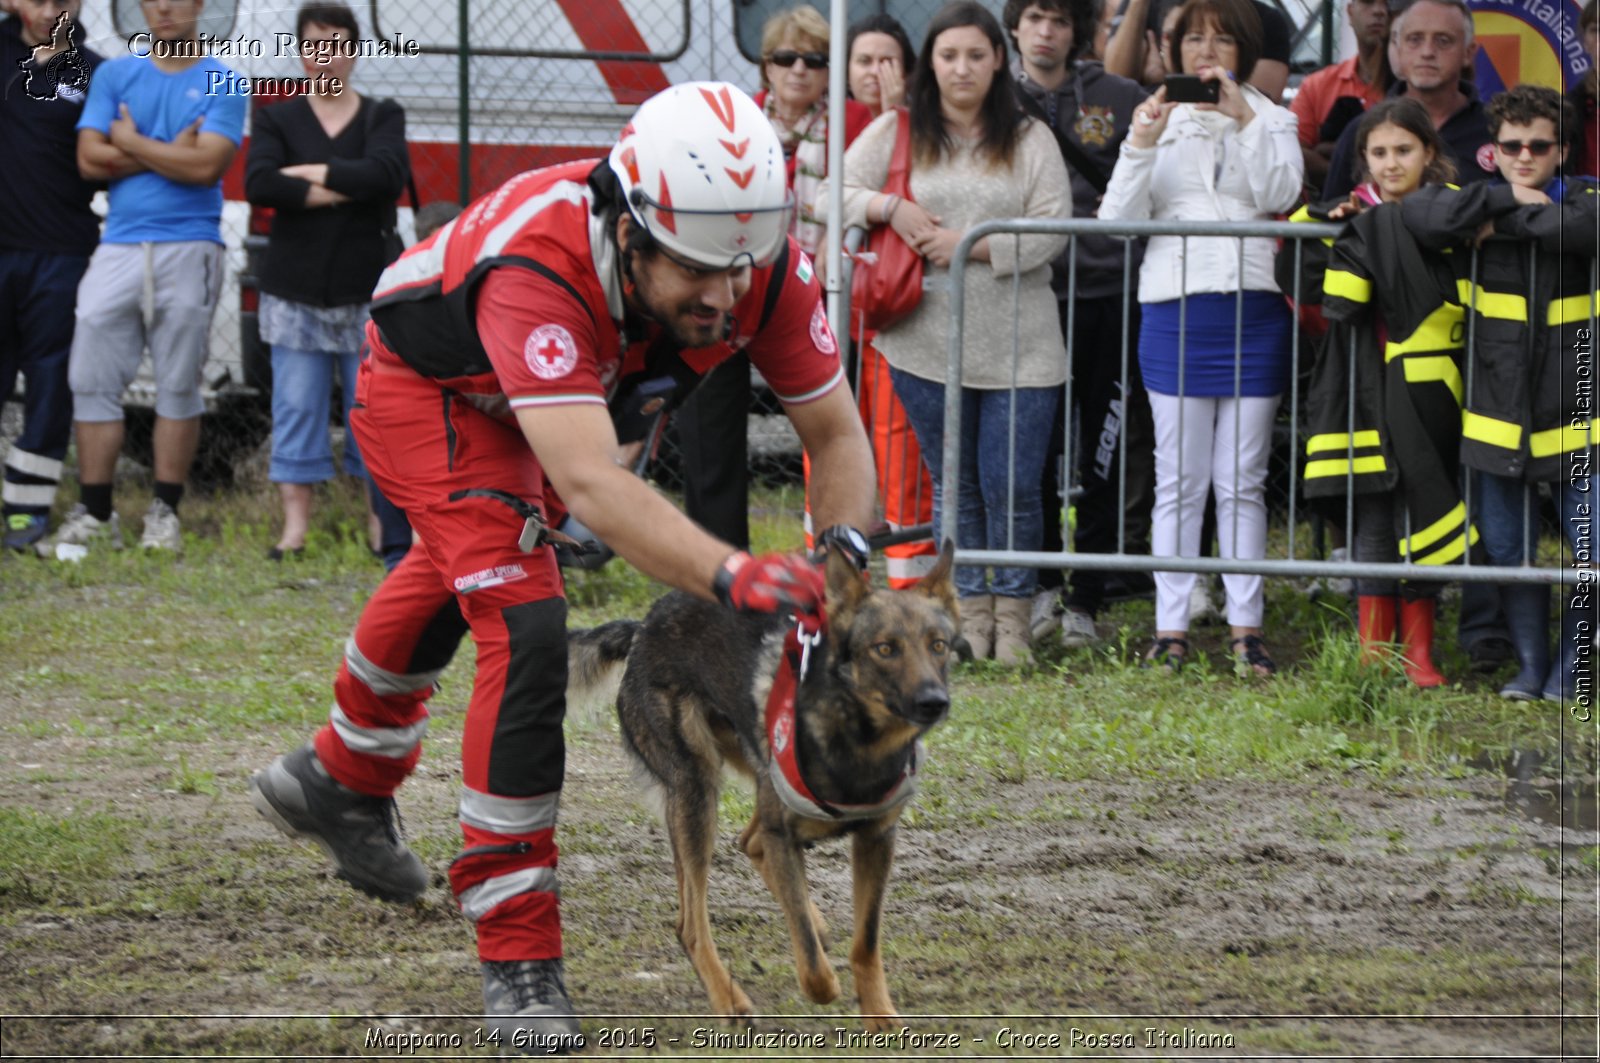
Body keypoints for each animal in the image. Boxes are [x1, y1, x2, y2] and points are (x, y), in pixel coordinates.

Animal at [569, 541, 953, 1030]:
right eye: (885, 648)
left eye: (939, 646)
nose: (934, 702)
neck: (857, 742)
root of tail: (642, 630)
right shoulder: (783, 832)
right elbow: (812, 965)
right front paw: (826, 981)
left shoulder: (876, 839)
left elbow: (865, 941)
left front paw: (879, 1013)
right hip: (696, 794)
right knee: (691, 925)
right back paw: (730, 1001)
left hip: (748, 774)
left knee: (748, 842)